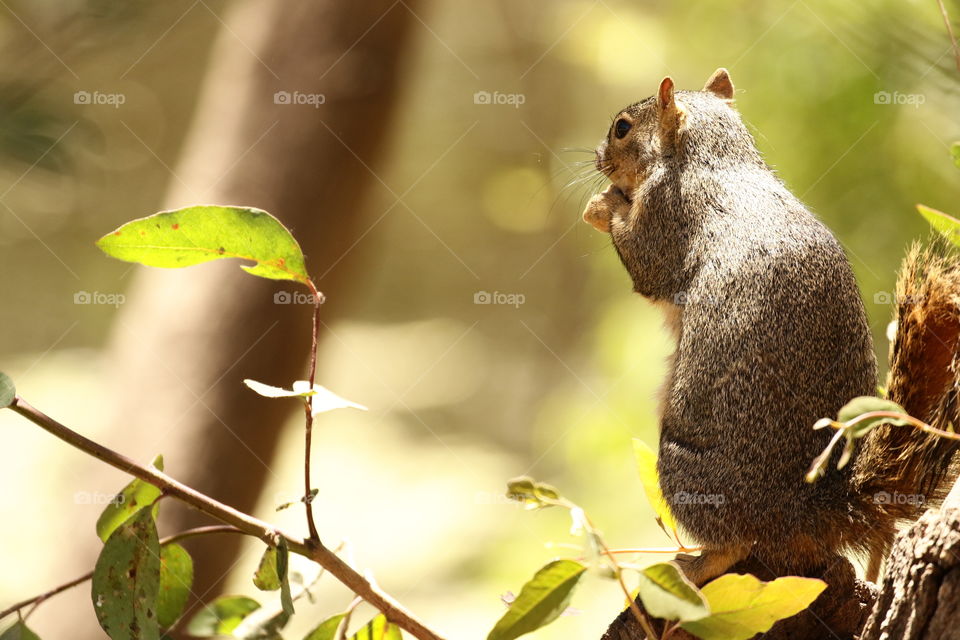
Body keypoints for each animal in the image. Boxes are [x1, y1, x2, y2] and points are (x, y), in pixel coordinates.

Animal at [580, 67, 960, 588]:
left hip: (684, 466)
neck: (713, 156)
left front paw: (600, 206)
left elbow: (645, 264)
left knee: (737, 543)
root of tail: (805, 513)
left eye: (622, 128)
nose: (598, 158)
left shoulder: (665, 213)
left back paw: (695, 565)